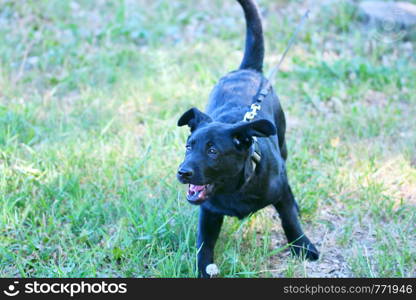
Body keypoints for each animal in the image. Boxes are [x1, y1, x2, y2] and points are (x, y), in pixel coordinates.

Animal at [176, 0, 318, 278]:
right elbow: (204, 244)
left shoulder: (279, 190)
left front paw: (303, 246)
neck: (236, 187)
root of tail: (247, 70)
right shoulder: (208, 212)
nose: (183, 172)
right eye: (189, 147)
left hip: (283, 142)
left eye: (212, 151)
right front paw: (204, 270)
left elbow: (290, 220)